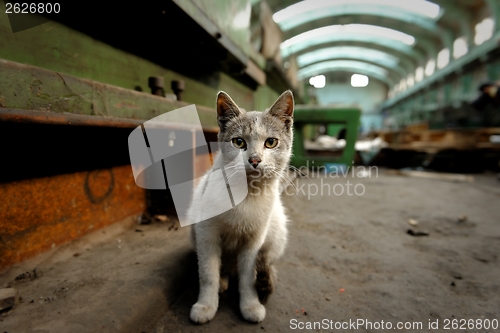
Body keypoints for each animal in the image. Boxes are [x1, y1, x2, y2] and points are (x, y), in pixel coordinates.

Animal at [189, 90, 294, 322]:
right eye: (238, 142)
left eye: (271, 142)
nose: (254, 160)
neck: (246, 195)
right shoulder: (206, 233)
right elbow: (208, 272)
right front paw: (206, 305)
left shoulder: (255, 241)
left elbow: (247, 276)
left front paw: (250, 305)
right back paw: (223, 281)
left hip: (277, 231)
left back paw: (266, 279)